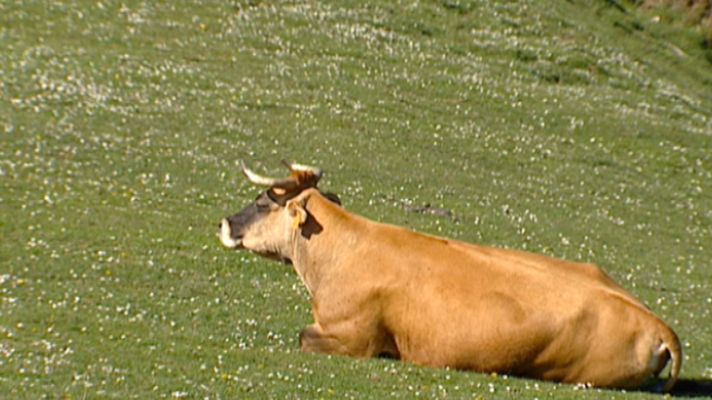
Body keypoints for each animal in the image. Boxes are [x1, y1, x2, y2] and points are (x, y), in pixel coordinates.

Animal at [219, 160, 682, 392]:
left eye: (263, 201)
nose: (225, 222)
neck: (342, 249)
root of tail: (657, 324)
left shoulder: (353, 338)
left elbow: (304, 337)